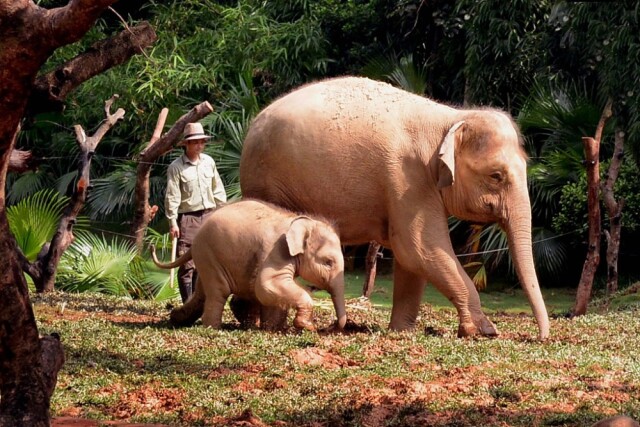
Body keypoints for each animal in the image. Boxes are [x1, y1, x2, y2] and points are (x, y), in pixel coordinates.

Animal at [151, 199, 348, 332]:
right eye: (328, 262)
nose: (329, 328)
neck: (299, 220)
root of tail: (194, 242)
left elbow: (269, 290)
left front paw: (274, 330)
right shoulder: (274, 252)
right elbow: (266, 284)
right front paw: (306, 326)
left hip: (208, 259)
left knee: (202, 293)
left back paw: (176, 318)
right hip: (209, 255)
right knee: (218, 291)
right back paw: (213, 328)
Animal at [240, 75, 552, 340]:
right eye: (496, 176)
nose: (540, 337)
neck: (450, 118)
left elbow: (412, 258)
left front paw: (402, 332)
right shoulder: (409, 180)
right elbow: (421, 249)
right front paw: (484, 331)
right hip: (269, 183)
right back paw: (270, 326)